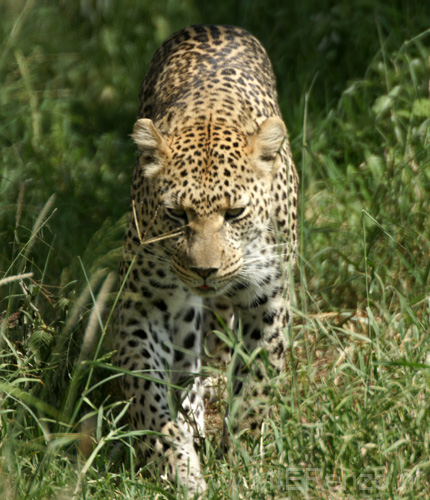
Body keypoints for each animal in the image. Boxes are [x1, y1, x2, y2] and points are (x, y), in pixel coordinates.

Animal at [114, 24, 298, 496]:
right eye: (176, 214)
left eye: (235, 213)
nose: (205, 271)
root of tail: (214, 25)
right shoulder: (141, 304)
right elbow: (147, 394)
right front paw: (177, 468)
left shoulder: (267, 303)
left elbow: (255, 390)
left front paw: (241, 467)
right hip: (180, 312)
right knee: (186, 358)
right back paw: (192, 415)